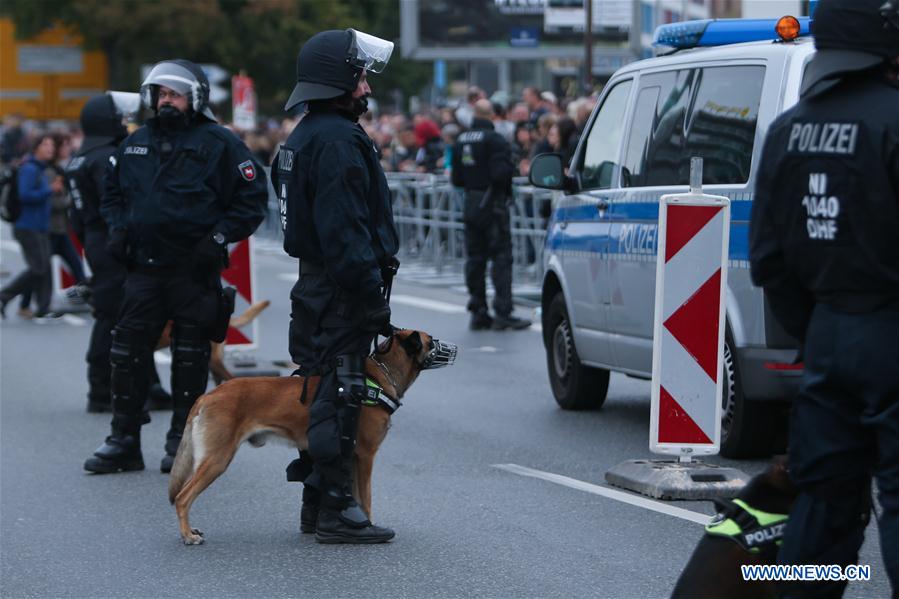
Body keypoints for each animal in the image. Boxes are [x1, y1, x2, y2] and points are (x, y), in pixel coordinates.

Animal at [168, 330, 454, 548]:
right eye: (432, 340)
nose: (453, 348)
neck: (378, 377)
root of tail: (207, 395)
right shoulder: (365, 457)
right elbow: (366, 498)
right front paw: (369, 526)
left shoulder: (351, 459)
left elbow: (354, 496)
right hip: (217, 459)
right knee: (182, 497)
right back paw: (187, 535)